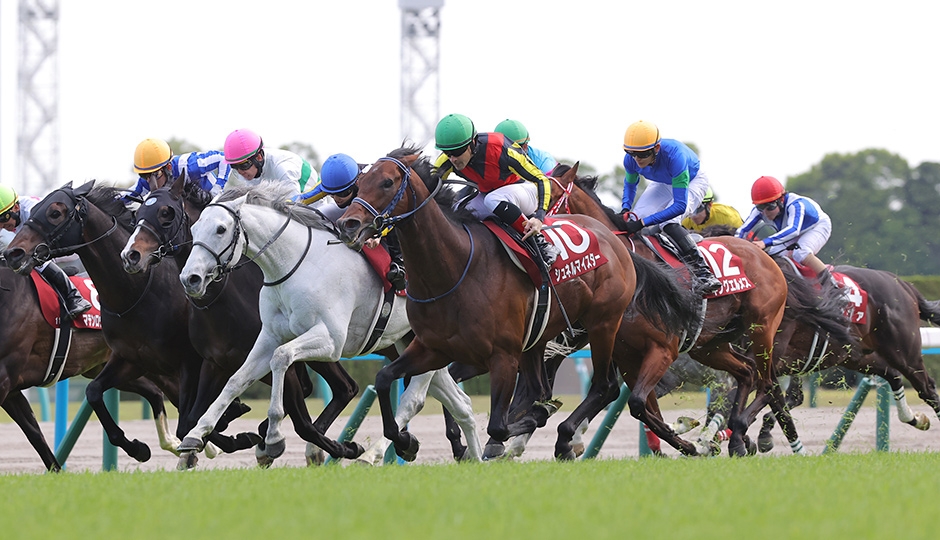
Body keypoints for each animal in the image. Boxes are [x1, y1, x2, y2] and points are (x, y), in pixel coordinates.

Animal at [119, 179, 365, 467]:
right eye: (137, 214)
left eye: (166, 213)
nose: (131, 255)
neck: (222, 298)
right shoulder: (210, 362)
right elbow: (191, 418)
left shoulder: (277, 357)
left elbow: (302, 422)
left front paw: (344, 448)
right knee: (345, 388)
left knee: (346, 387)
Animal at [174, 181, 481, 463]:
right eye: (194, 229)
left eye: (221, 229)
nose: (190, 279)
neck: (294, 265)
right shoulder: (268, 337)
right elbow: (236, 380)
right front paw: (196, 434)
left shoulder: (331, 341)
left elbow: (281, 358)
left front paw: (273, 437)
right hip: (414, 345)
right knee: (462, 404)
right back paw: (474, 457)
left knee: (414, 399)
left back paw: (382, 450)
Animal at [336, 146, 646, 461]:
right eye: (359, 185)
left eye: (387, 182)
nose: (348, 224)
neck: (455, 268)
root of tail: (613, 239)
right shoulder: (433, 348)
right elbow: (384, 378)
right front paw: (405, 442)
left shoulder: (503, 356)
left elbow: (499, 425)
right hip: (536, 341)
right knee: (541, 389)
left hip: (603, 323)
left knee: (604, 386)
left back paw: (565, 438)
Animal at [545, 168, 792, 456]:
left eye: (553, 195)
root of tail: (762, 253)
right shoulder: (628, 355)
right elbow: (643, 407)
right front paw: (686, 441)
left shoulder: (663, 349)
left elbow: (637, 403)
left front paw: (689, 441)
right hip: (709, 346)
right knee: (747, 372)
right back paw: (737, 439)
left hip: (762, 327)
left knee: (767, 382)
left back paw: (741, 429)